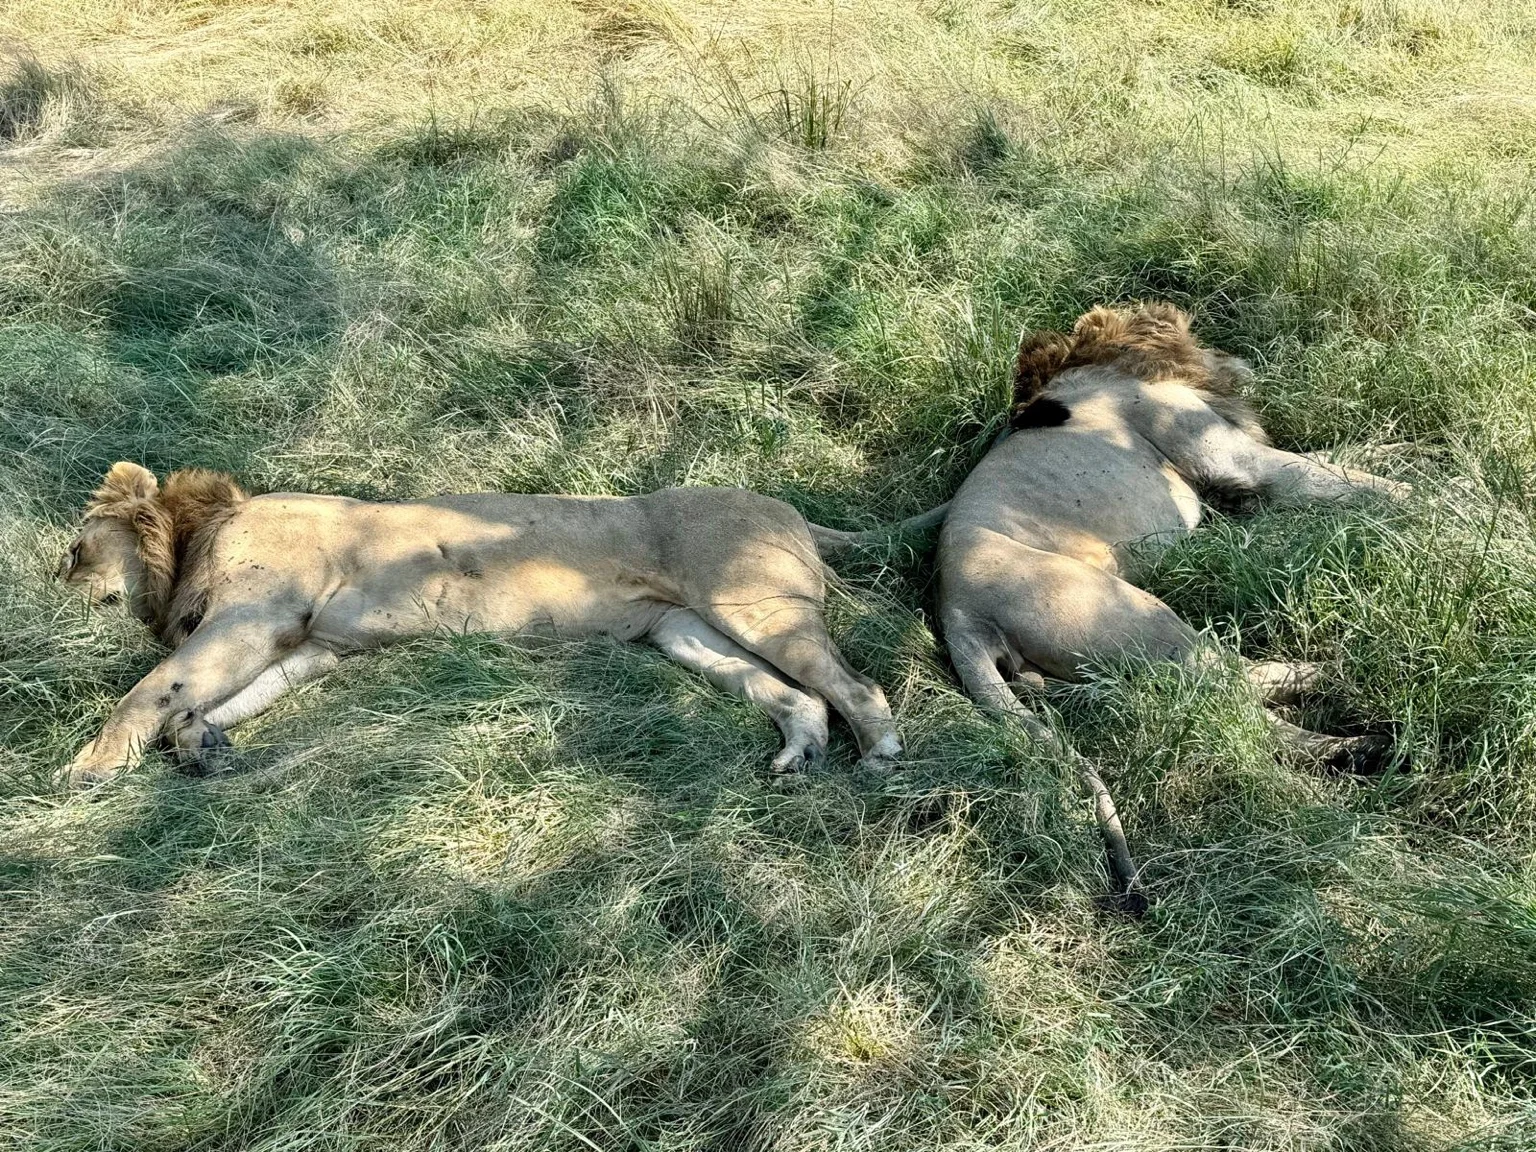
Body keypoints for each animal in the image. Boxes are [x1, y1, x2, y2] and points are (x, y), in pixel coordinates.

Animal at [58, 464, 943, 787]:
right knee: (799, 697)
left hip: (755, 608)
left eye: (73, 549)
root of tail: (787, 506)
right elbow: (198, 701)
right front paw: (200, 741)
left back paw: (879, 754)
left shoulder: (253, 616)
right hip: (688, 633)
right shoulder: (305, 648)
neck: (204, 530)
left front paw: (87, 769)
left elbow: (151, 688)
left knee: (856, 685)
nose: (48, 587)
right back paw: (799, 755)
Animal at [937, 302, 1412, 897]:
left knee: (1224, 686)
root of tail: (956, 611)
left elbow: (1348, 456)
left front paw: (1407, 450)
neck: (1093, 368)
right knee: (1232, 706)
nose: (1236, 357)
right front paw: (1450, 500)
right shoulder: (1237, 460)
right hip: (1141, 615)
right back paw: (1358, 736)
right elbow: (1358, 480)